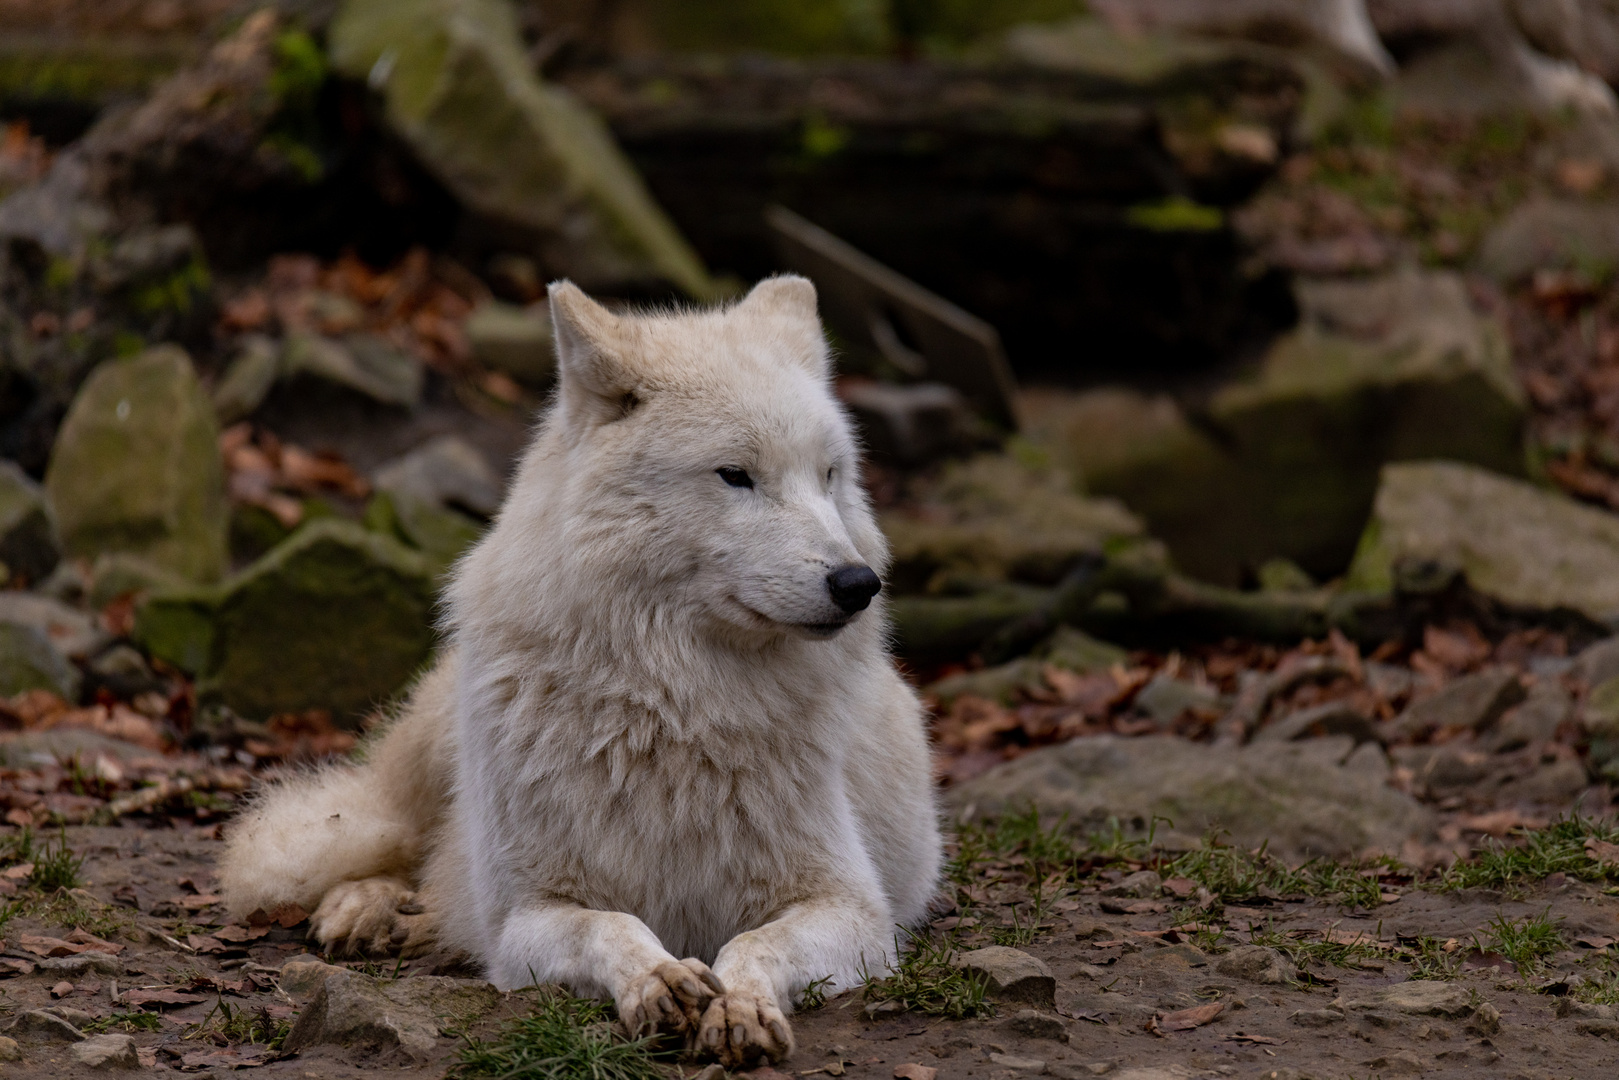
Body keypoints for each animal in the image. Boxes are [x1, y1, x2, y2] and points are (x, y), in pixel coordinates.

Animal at [221, 275, 945, 1068]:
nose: (858, 582)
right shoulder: (529, 913)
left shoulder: (853, 907)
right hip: (416, 782)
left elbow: (756, 943)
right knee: (371, 839)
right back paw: (369, 908)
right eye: (735, 476)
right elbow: (610, 926)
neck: (675, 707)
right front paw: (658, 980)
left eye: (828, 475)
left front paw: (741, 1004)